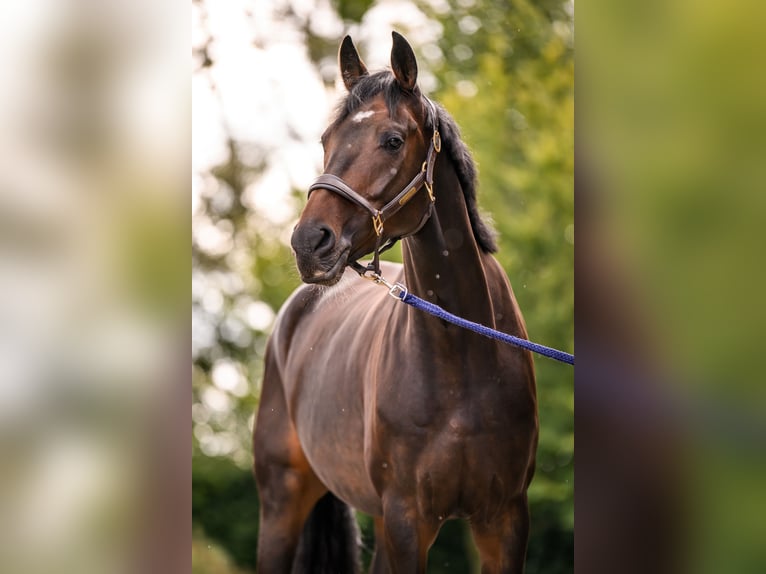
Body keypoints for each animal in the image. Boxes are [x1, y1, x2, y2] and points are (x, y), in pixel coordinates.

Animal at [254, 32, 540, 574]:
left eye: (392, 140)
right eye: (326, 142)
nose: (309, 243)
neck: (466, 360)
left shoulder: (505, 520)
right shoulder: (408, 520)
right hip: (282, 503)